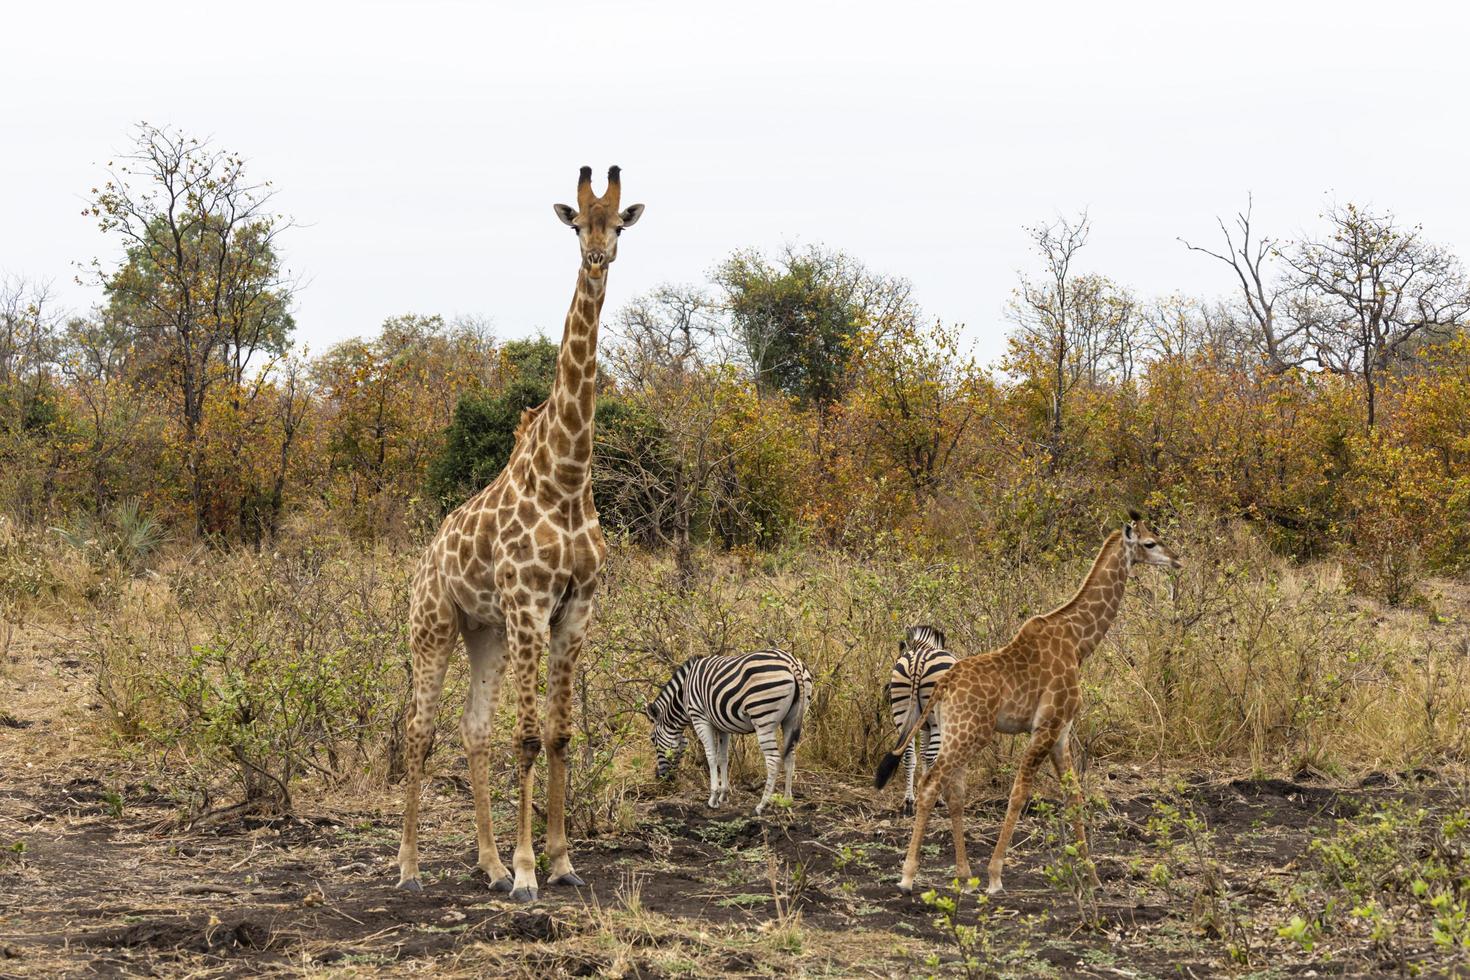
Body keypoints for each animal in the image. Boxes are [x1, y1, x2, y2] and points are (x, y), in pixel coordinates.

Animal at [396, 163, 643, 905]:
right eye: (576, 224)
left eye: (619, 226)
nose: (598, 258)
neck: (566, 478)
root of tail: (422, 561)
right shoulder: (532, 604)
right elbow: (529, 738)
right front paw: (531, 873)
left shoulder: (575, 609)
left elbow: (559, 736)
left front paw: (558, 861)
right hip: (434, 626)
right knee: (419, 731)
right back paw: (410, 866)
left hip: (487, 632)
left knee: (473, 728)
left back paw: (487, 863)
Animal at [646, 646, 817, 816]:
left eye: (653, 739)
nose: (660, 776)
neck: (683, 697)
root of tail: (792, 663)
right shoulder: (722, 726)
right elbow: (723, 758)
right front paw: (723, 795)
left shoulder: (700, 718)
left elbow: (711, 757)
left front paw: (713, 798)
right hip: (792, 718)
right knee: (790, 757)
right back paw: (787, 801)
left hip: (763, 718)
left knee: (774, 760)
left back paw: (761, 805)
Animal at [887, 625, 958, 816]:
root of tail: (919, 660)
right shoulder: (932, 726)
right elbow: (930, 756)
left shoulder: (923, 727)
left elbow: (923, 753)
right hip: (936, 719)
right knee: (933, 757)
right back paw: (934, 800)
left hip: (902, 710)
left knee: (908, 755)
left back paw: (909, 801)